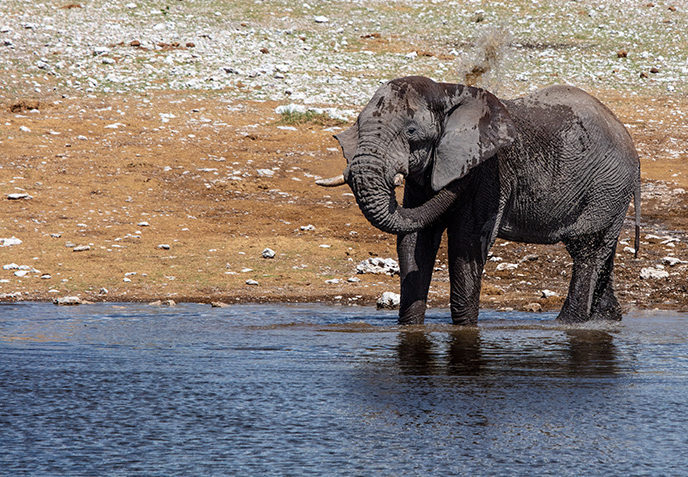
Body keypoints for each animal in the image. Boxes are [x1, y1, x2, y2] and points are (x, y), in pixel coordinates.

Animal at [318, 76, 640, 326]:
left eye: (411, 131)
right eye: (358, 125)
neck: (446, 92)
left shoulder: (489, 173)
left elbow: (467, 241)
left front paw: (464, 328)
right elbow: (415, 240)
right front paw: (409, 327)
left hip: (607, 185)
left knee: (587, 247)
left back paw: (568, 323)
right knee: (599, 251)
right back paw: (607, 319)